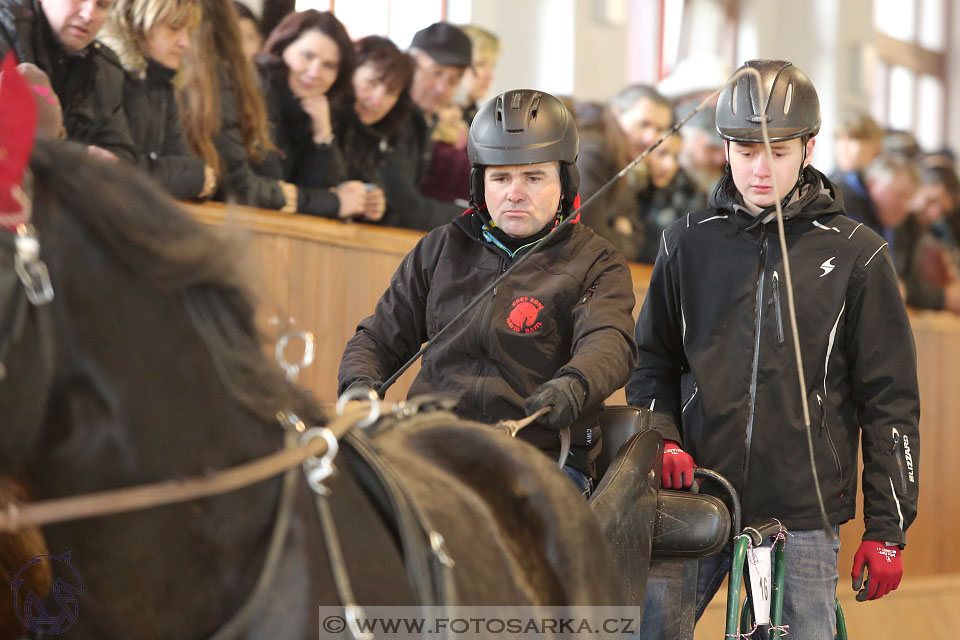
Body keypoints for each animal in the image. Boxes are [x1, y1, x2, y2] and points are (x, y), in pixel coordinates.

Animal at [0, 141, 624, 640]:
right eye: (502, 180)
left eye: (532, 178)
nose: (513, 196)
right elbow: (381, 329)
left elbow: (608, 336)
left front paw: (560, 395)